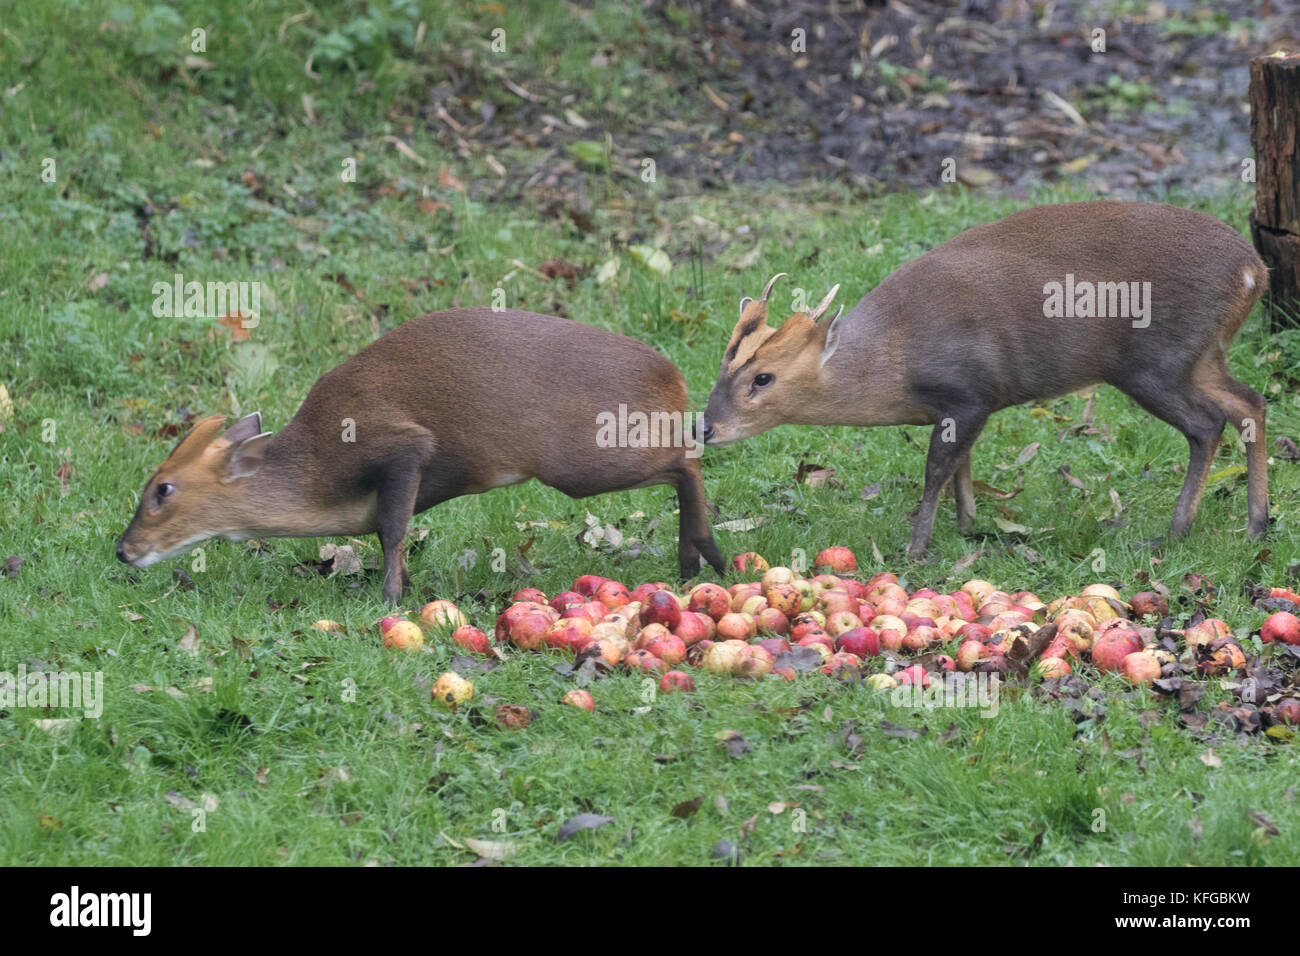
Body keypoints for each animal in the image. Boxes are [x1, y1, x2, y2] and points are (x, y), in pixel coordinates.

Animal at [117, 308, 726, 604]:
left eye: (162, 489)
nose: (124, 551)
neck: (317, 477)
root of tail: (671, 376)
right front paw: (402, 587)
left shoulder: (403, 445)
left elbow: (391, 530)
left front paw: (389, 598)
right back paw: (691, 560)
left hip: (583, 460)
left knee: (686, 458)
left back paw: (707, 552)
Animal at [701, 201, 1270, 558]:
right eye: (722, 368)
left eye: (763, 378)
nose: (705, 428)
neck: (895, 358)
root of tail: (1253, 269)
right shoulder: (968, 404)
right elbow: (963, 467)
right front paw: (969, 527)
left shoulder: (969, 392)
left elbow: (937, 469)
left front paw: (916, 548)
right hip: (1201, 354)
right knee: (1251, 403)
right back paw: (1256, 525)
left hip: (1154, 360)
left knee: (1208, 423)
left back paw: (1174, 533)